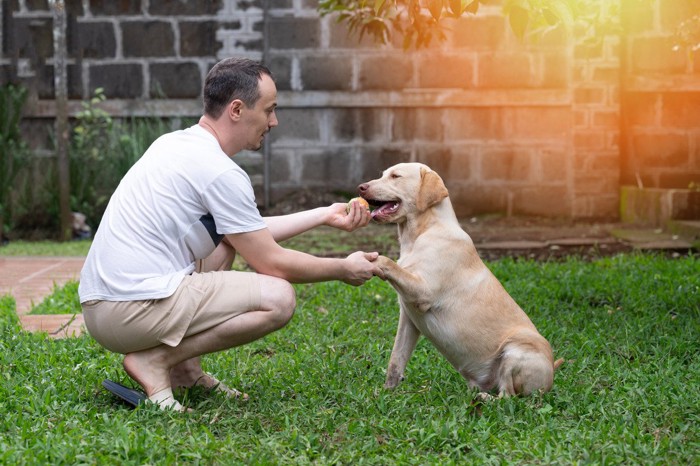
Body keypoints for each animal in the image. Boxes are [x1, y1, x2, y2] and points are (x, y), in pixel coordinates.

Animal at [360, 164, 564, 396]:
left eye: (395, 176)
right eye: (383, 174)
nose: (361, 187)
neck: (423, 231)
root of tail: (551, 373)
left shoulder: (423, 293)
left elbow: (387, 262)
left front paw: (373, 261)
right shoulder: (408, 318)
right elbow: (396, 360)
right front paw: (386, 392)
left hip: (515, 349)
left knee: (508, 396)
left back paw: (483, 398)